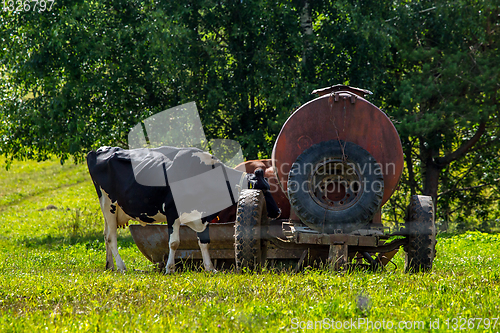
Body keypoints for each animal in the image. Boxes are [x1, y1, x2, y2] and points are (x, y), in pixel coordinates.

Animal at [89, 145, 249, 272]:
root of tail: (100, 149)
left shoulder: (202, 216)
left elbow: (204, 242)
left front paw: (210, 268)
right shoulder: (172, 212)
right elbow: (174, 243)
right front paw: (170, 268)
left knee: (106, 235)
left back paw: (110, 266)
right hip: (108, 203)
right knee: (111, 237)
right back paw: (121, 267)